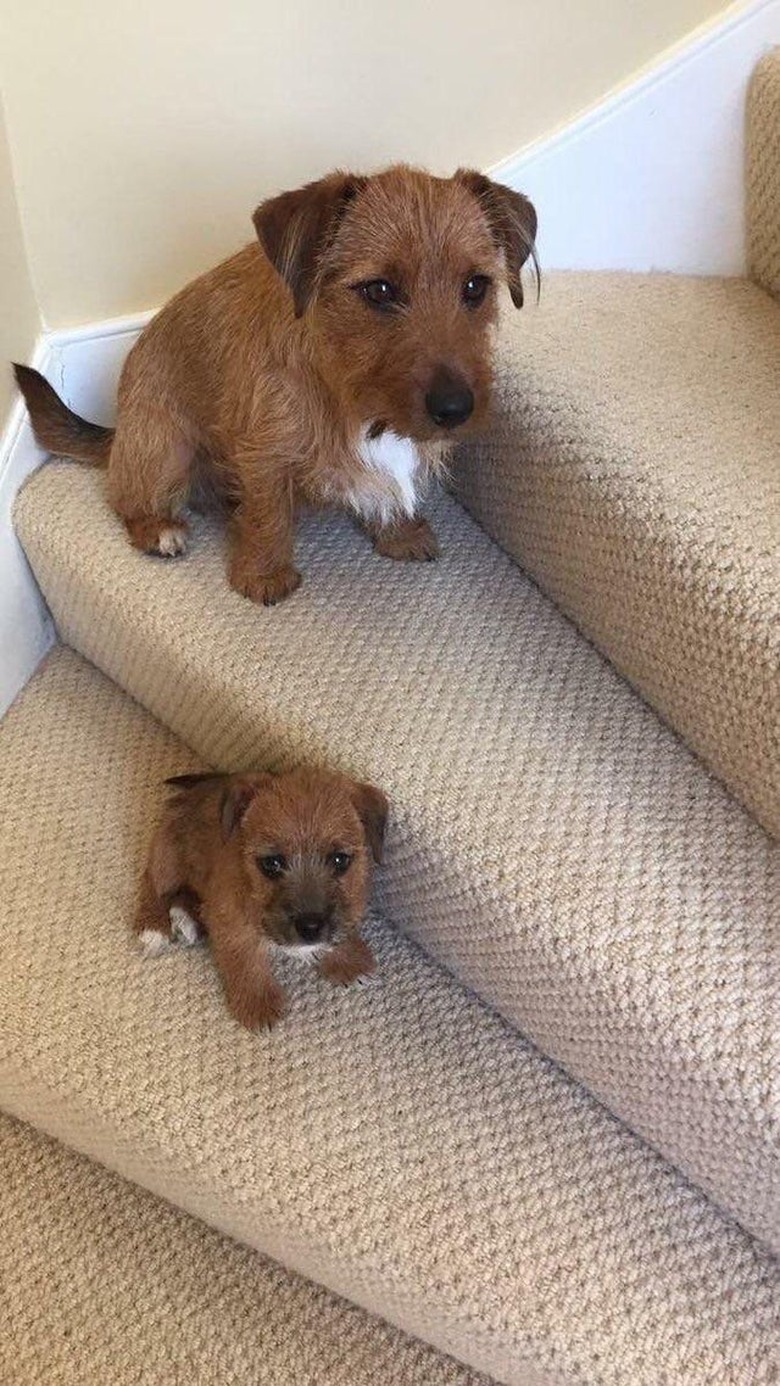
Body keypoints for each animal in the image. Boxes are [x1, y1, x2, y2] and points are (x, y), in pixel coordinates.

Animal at [13, 160, 537, 601]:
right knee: (126, 498)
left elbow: (388, 491)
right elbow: (267, 513)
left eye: (475, 286)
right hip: (164, 448)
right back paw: (160, 529)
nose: (455, 408)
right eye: (379, 290)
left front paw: (400, 534)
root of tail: (119, 432)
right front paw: (263, 576)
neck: (349, 392)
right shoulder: (261, 452)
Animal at [137, 770, 390, 1031]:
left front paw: (349, 961)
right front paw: (257, 1005)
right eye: (272, 863)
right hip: (168, 860)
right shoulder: (230, 920)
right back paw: (153, 927)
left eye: (340, 860)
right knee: (151, 884)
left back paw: (186, 918)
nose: (310, 927)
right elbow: (245, 960)